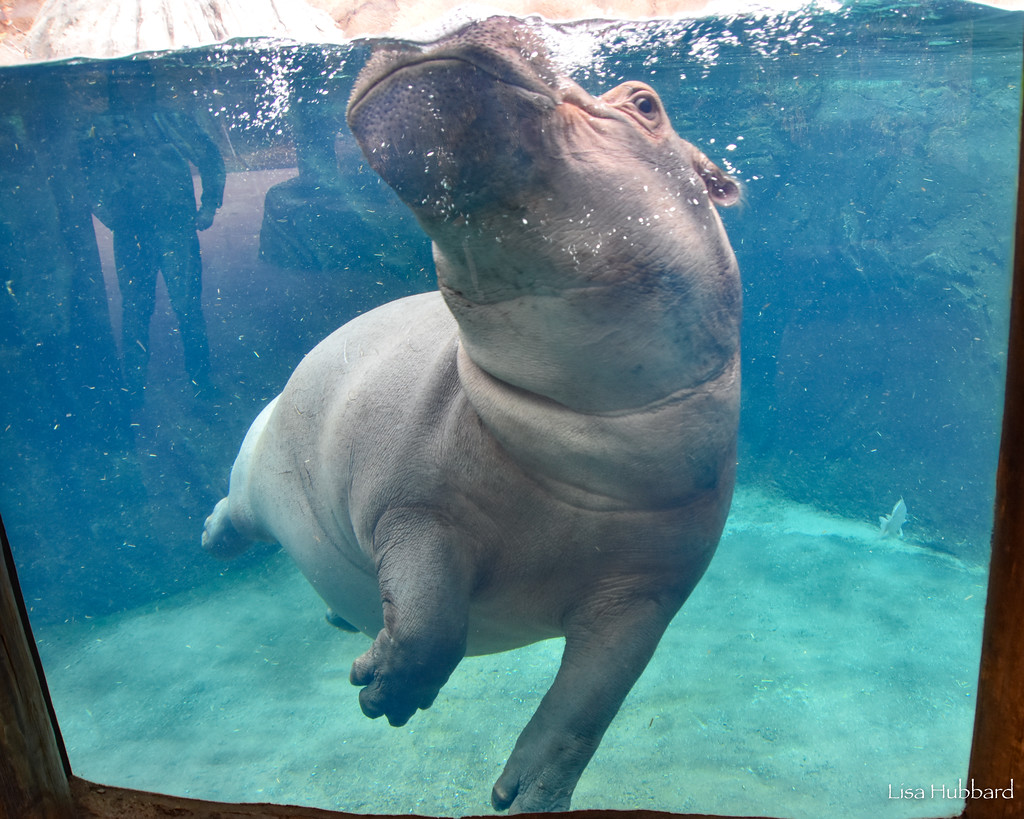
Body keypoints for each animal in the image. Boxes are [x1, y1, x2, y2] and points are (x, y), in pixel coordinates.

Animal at [203, 16, 741, 813]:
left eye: (645, 103)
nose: (439, 28)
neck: (584, 437)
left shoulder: (645, 594)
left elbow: (587, 707)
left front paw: (528, 797)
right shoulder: (416, 506)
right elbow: (429, 622)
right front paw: (383, 696)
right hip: (258, 467)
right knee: (239, 510)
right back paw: (214, 541)